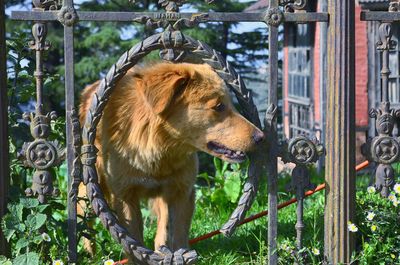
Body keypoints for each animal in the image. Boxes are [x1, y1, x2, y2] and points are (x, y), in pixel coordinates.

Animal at [79, 62, 264, 252]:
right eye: (218, 106)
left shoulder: (181, 192)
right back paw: (91, 252)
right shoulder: (125, 197)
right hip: (89, 189)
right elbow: (134, 245)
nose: (261, 137)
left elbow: (176, 236)